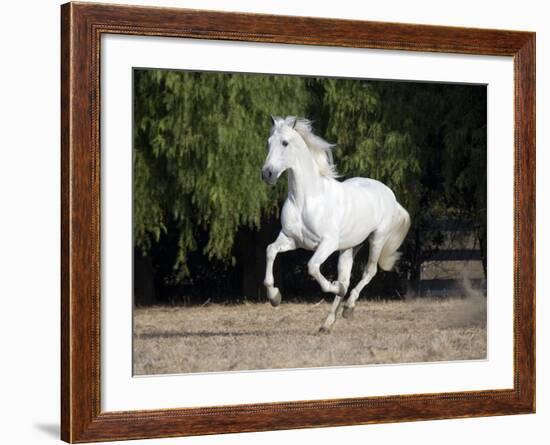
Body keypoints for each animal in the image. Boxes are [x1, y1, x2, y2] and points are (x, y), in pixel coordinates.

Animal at [264, 116, 414, 332]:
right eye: (268, 143)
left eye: (284, 143)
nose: (267, 174)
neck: (307, 200)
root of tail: (390, 195)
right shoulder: (291, 239)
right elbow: (270, 251)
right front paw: (274, 297)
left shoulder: (327, 244)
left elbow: (312, 267)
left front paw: (334, 287)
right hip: (350, 247)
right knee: (346, 278)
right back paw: (327, 323)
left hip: (377, 239)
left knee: (369, 271)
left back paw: (349, 307)